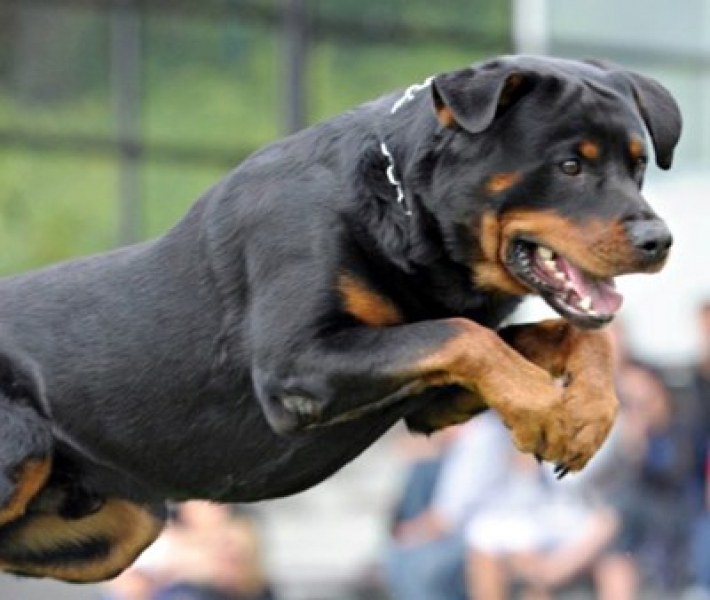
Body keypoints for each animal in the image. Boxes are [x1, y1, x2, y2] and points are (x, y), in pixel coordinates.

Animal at [0, 55, 680, 580]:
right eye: (570, 166)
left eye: (638, 166)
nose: (659, 240)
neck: (408, 215)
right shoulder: (299, 367)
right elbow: (464, 335)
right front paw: (546, 412)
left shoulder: (433, 398)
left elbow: (569, 338)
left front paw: (586, 416)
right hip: (25, 447)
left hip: (123, 525)